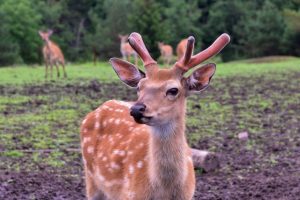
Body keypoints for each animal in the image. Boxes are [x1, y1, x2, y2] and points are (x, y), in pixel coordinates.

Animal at [79, 32, 230, 199]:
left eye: (173, 90)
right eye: (139, 87)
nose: (136, 109)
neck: (165, 191)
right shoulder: (130, 194)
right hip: (91, 179)